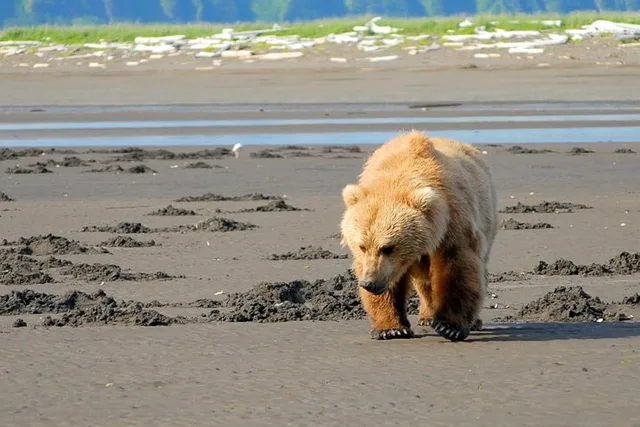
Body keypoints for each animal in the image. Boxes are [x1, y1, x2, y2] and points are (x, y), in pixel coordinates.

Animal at [339, 130, 499, 342]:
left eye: (388, 247)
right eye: (361, 246)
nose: (369, 283)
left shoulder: (453, 223)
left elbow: (457, 267)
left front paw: (450, 326)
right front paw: (391, 328)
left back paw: (470, 321)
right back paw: (427, 316)